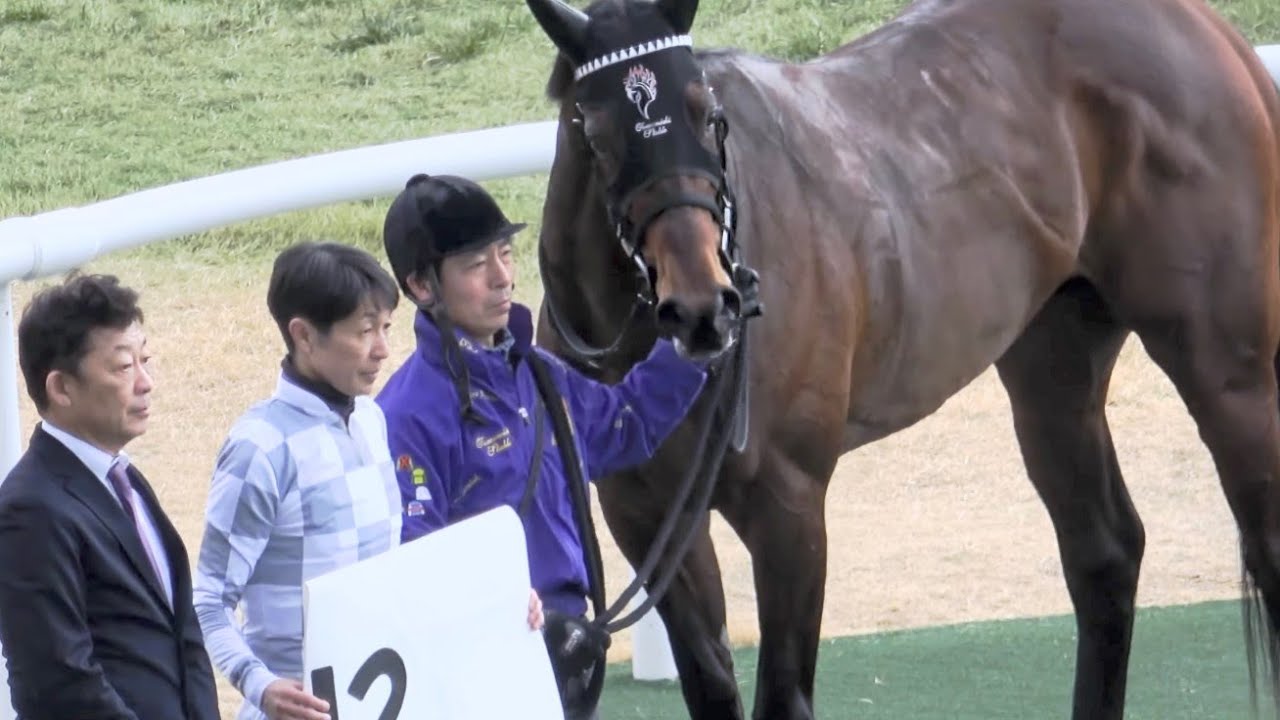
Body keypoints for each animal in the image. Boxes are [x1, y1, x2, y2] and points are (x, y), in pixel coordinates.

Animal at [524, 0, 1280, 718]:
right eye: (594, 131)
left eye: (708, 115)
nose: (703, 307)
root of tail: (1203, 26)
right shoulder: (646, 517)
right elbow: (711, 689)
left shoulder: (788, 502)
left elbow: (784, 696)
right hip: (1053, 371)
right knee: (1105, 553)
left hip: (1228, 370)